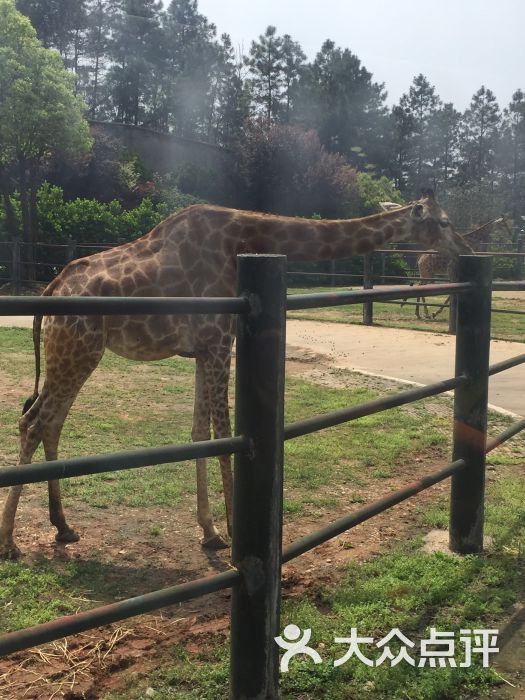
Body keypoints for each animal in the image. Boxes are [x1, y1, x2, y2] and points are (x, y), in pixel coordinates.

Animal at [0, 190, 470, 556]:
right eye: (444, 221)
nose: (463, 249)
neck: (245, 239)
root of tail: (51, 289)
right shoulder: (220, 340)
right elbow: (224, 435)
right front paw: (229, 530)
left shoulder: (203, 349)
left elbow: (199, 433)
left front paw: (209, 532)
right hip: (78, 350)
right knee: (33, 422)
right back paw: (10, 542)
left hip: (73, 353)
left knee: (50, 423)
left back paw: (64, 527)